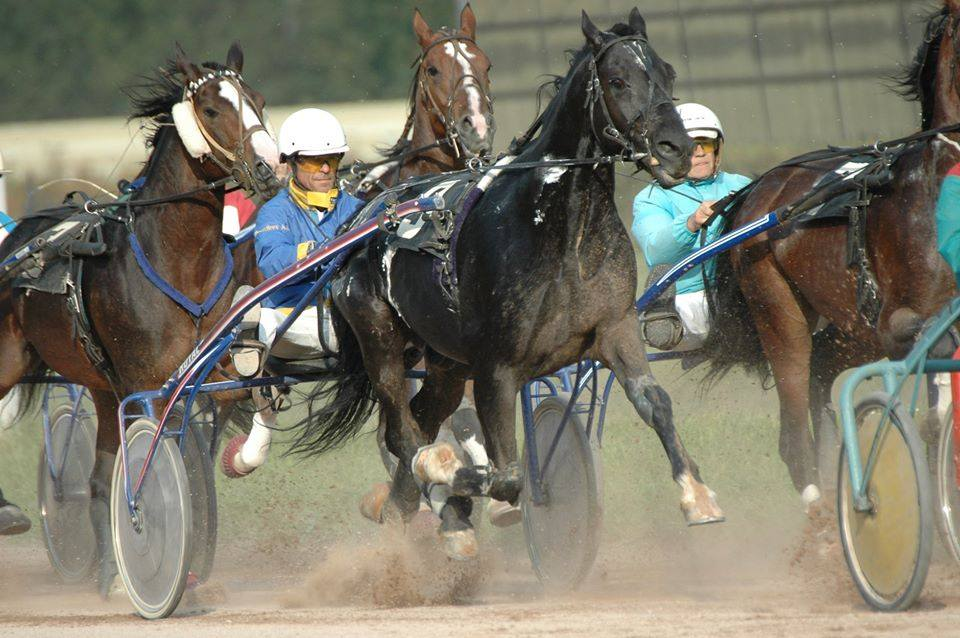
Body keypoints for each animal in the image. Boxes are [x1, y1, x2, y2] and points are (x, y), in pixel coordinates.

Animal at [0, 45, 278, 596]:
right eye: (212, 108)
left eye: (257, 100)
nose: (270, 165)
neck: (180, 262)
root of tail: (19, 236)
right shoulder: (144, 380)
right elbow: (148, 463)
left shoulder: (207, 366)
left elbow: (244, 389)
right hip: (13, 360)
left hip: (103, 387)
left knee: (97, 478)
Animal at [296, 8, 724, 560]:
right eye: (618, 79)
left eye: (667, 74)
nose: (677, 150)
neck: (561, 225)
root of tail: (367, 218)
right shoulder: (496, 369)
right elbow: (507, 477)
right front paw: (454, 478)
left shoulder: (616, 328)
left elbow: (656, 404)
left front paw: (697, 495)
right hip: (380, 339)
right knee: (405, 435)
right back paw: (436, 490)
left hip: (445, 361)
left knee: (416, 422)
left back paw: (406, 511)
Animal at [700, 0, 960, 510]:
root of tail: (760, 189)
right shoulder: (897, 321)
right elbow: (935, 373)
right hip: (780, 313)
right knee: (794, 434)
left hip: (848, 332)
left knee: (823, 376)